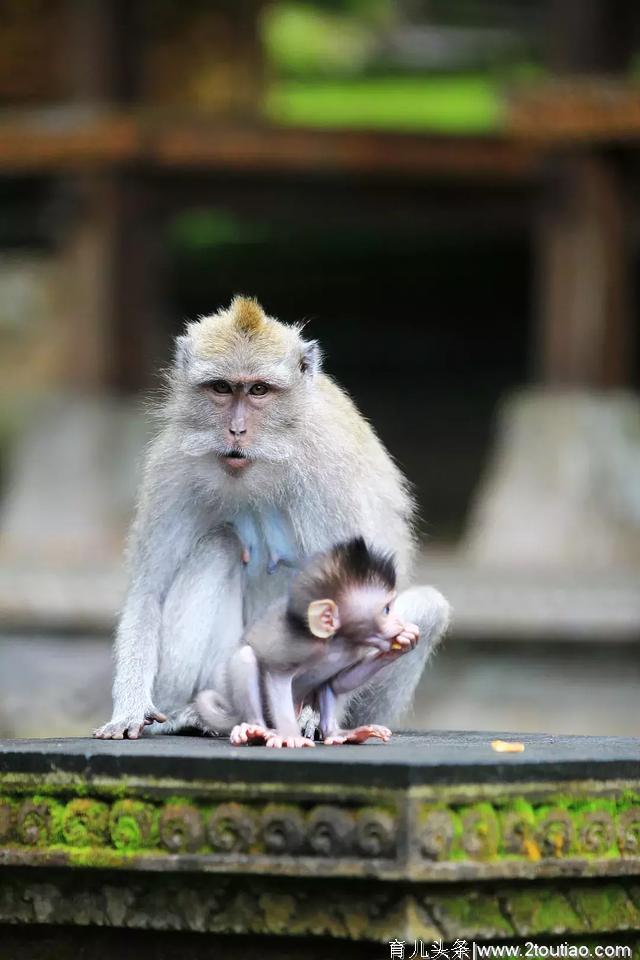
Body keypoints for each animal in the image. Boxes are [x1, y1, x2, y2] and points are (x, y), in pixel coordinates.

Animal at [198, 532, 422, 752]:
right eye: (387, 609)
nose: (399, 622)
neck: (335, 643)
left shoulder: (353, 649)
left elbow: (339, 683)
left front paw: (400, 646)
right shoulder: (296, 646)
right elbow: (277, 677)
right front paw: (290, 735)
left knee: (326, 685)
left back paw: (336, 732)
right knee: (246, 658)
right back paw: (257, 729)